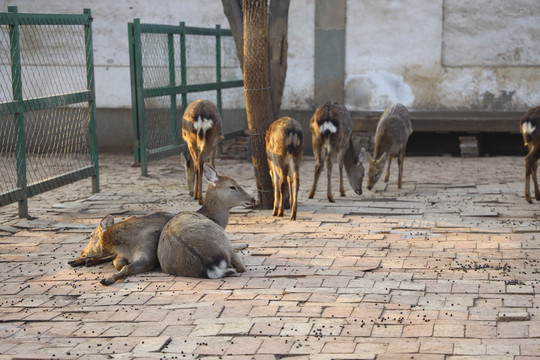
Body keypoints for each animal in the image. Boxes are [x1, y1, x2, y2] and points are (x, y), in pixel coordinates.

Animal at [69, 165, 255, 286]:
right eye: (232, 186)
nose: (253, 199)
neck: (212, 217)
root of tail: (211, 265)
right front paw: (244, 243)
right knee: (240, 266)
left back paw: (80, 261)